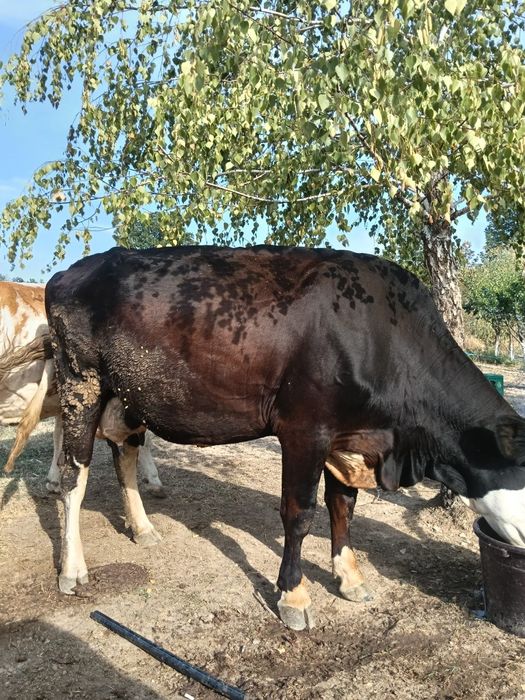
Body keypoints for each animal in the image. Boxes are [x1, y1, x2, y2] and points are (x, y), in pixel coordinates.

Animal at [45, 245, 525, 631]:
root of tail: (71, 271)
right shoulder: (304, 430)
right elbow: (300, 513)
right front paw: (293, 596)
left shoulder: (345, 436)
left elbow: (343, 505)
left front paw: (349, 577)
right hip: (80, 383)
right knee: (73, 474)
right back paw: (71, 569)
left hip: (128, 394)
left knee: (123, 450)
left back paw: (143, 528)